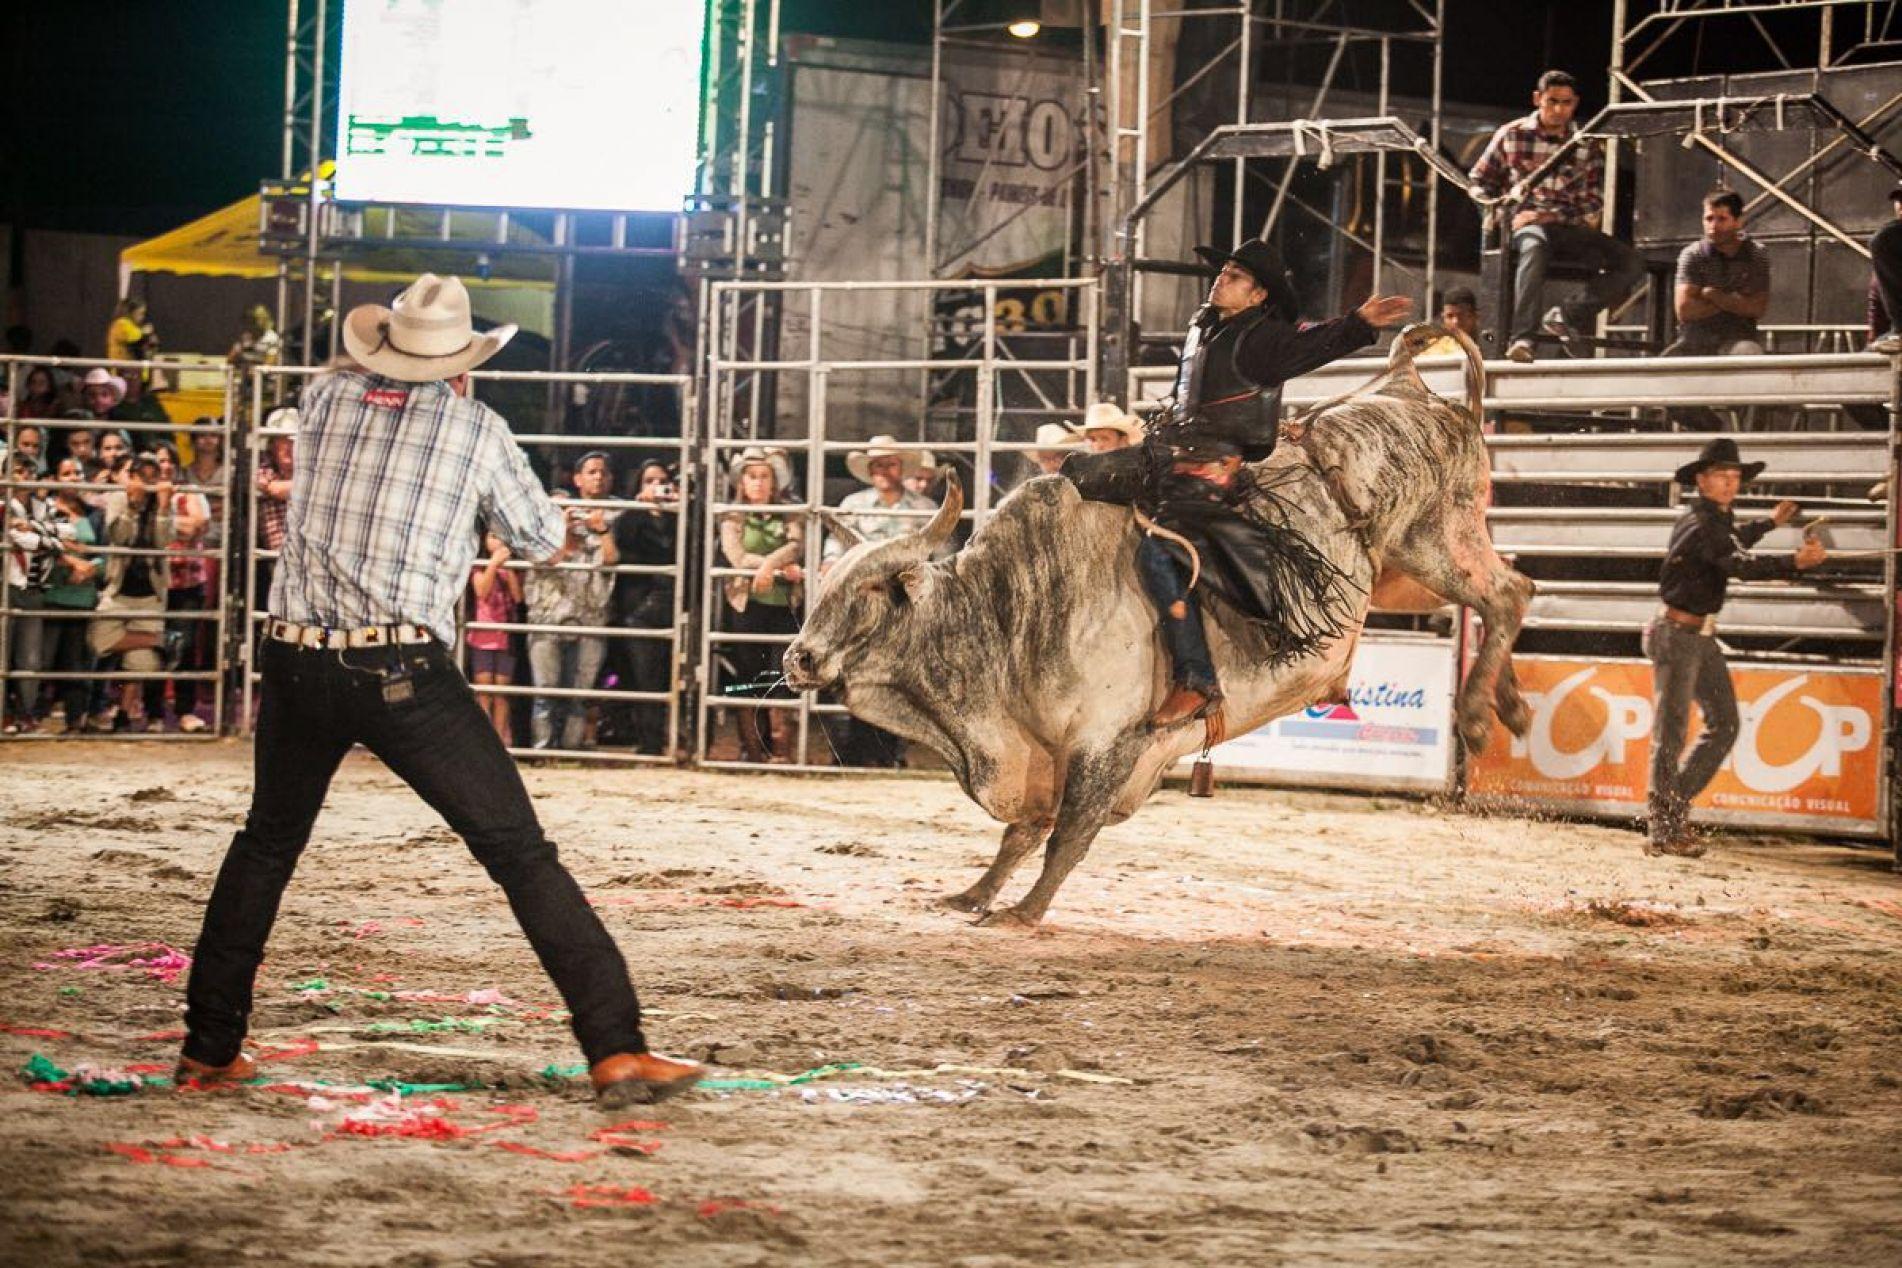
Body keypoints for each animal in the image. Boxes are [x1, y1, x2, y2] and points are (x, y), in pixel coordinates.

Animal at [779, 323, 1536, 927]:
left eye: (868, 593)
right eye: (824, 585)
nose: (799, 659)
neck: (1010, 614)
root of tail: (1411, 390)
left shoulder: (1108, 740)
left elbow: (1067, 832)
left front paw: (1024, 911)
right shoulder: (1038, 750)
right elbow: (1023, 830)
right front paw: (974, 894)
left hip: (1436, 539)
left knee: (1507, 594)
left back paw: (1477, 718)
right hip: (1418, 564)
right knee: (1513, 595)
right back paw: (1512, 706)